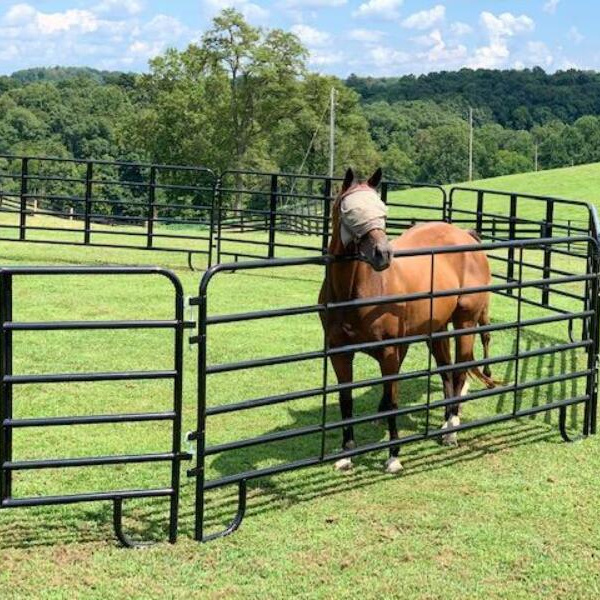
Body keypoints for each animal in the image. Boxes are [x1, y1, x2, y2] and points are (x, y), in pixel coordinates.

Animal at [322, 168, 494, 474]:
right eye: (351, 212)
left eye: (382, 210)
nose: (383, 254)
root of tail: (465, 235)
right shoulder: (339, 353)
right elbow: (346, 403)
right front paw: (346, 455)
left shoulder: (390, 352)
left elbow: (392, 401)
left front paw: (393, 456)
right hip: (437, 329)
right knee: (446, 371)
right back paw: (445, 420)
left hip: (465, 323)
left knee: (460, 371)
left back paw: (451, 429)